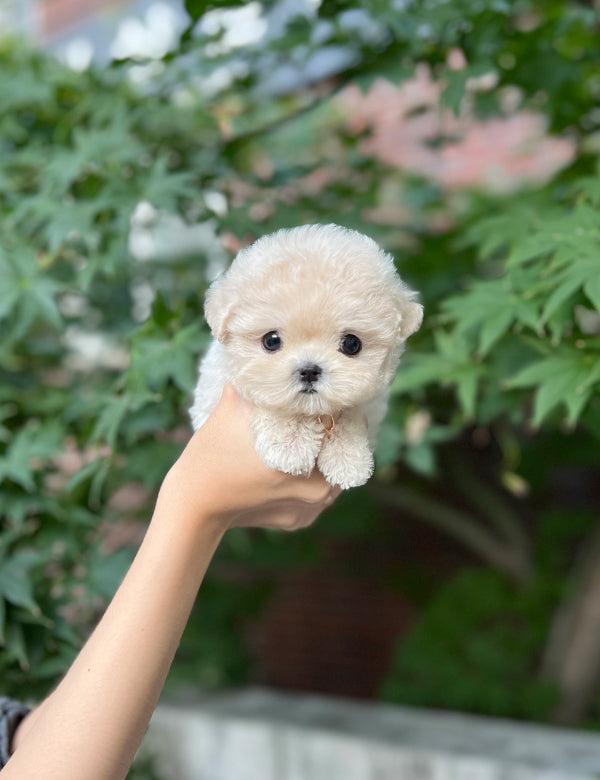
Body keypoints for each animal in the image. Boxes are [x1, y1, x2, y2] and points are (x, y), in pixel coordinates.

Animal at [191, 222, 422, 488]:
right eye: (271, 341)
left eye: (351, 344)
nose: (309, 370)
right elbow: (273, 403)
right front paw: (288, 445)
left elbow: (349, 412)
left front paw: (349, 459)